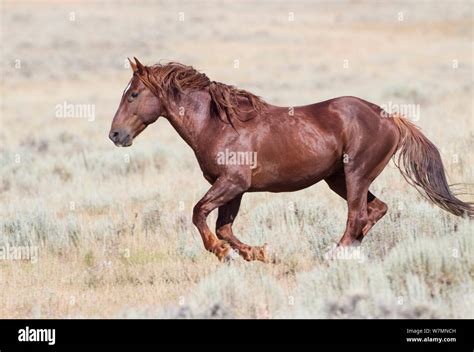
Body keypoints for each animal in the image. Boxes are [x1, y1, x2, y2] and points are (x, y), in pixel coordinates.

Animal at [108, 57, 474, 262]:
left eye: (134, 94)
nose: (115, 135)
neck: (217, 123)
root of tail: (390, 117)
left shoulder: (232, 184)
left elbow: (200, 214)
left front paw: (221, 252)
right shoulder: (234, 189)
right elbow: (224, 228)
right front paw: (256, 253)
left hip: (355, 173)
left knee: (357, 215)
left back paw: (334, 254)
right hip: (337, 178)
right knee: (376, 210)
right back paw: (349, 250)